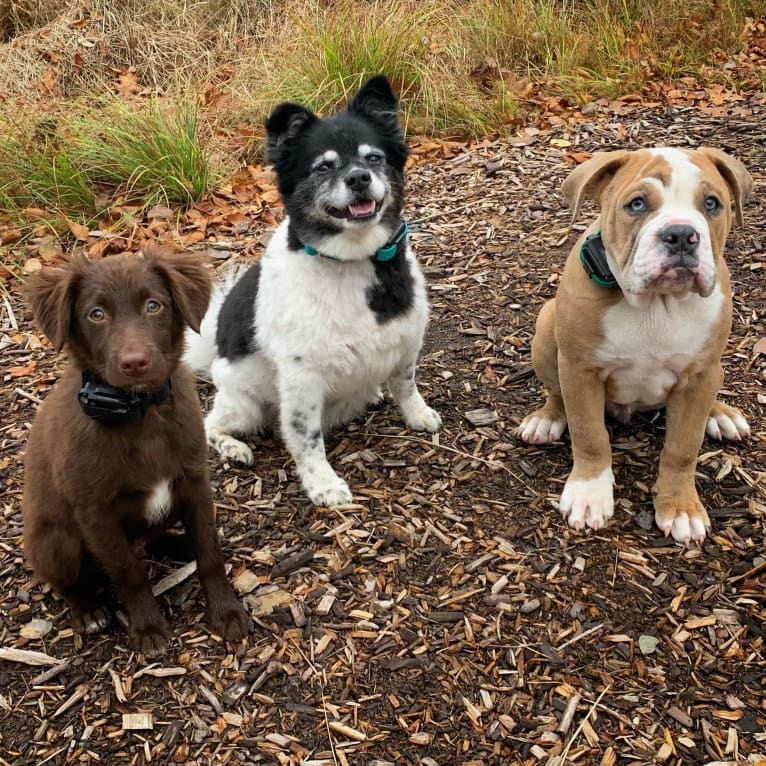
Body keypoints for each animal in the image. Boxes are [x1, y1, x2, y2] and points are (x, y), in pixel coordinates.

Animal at [22, 249, 252, 656]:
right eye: (96, 314)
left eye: (153, 305)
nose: (134, 363)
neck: (140, 414)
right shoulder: (95, 512)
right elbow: (128, 572)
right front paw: (147, 627)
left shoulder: (194, 481)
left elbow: (209, 550)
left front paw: (226, 611)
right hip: (55, 541)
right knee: (67, 581)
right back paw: (88, 610)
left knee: (153, 539)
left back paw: (179, 544)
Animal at [182, 75, 440, 508]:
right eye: (323, 166)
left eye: (373, 158)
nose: (358, 178)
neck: (351, 262)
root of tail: (215, 354)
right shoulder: (302, 378)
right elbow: (307, 438)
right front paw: (323, 483)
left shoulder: (406, 342)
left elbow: (406, 384)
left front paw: (417, 414)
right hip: (244, 404)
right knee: (209, 426)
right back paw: (234, 448)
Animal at [520, 148, 752, 544]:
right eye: (638, 204)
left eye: (711, 204)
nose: (681, 234)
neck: (658, 304)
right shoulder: (580, 371)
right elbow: (589, 434)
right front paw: (589, 494)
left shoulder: (699, 376)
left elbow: (683, 447)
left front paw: (680, 507)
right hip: (547, 327)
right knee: (556, 393)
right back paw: (547, 418)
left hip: (713, 370)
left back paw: (721, 414)